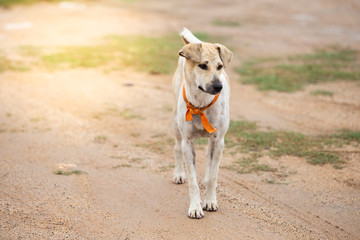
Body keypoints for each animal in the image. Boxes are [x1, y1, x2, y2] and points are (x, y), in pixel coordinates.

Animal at [172, 27, 233, 218]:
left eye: (220, 66)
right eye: (203, 65)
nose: (218, 86)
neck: (200, 105)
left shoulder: (219, 141)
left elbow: (214, 175)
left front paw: (210, 201)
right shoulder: (187, 142)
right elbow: (192, 180)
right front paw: (195, 207)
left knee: (208, 156)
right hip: (175, 125)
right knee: (176, 148)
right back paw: (179, 174)